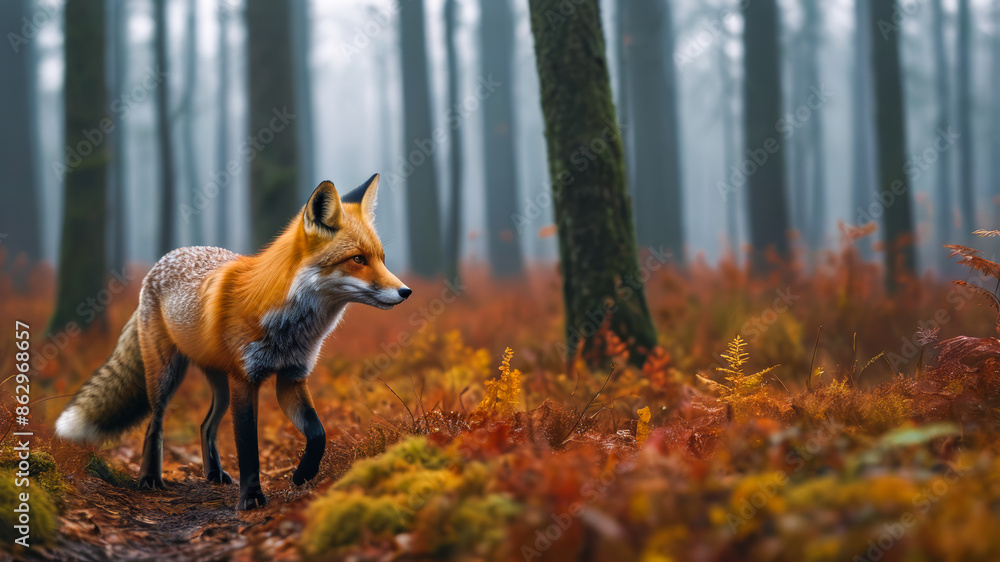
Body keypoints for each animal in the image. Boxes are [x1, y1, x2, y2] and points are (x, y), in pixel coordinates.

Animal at [55, 174, 411, 510]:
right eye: (358, 259)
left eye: (381, 258)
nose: (406, 291)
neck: (288, 327)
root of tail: (165, 258)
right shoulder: (245, 380)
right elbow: (248, 449)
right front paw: (251, 499)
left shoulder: (291, 377)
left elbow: (318, 433)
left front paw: (303, 474)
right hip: (166, 377)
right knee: (154, 425)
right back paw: (149, 478)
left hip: (219, 384)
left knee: (205, 425)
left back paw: (213, 473)